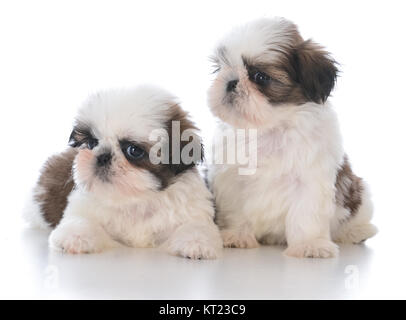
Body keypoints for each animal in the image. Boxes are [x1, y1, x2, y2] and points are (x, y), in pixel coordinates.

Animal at [23, 85, 222, 260]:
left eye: (133, 150)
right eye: (91, 143)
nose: (102, 156)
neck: (135, 200)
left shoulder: (191, 211)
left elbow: (196, 226)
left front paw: (196, 243)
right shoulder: (83, 205)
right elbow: (80, 220)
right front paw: (76, 236)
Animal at [208, 16, 380, 258]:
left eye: (260, 76)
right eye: (219, 69)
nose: (231, 81)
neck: (270, 128)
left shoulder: (310, 179)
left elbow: (306, 214)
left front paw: (310, 245)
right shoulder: (231, 180)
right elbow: (236, 210)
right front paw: (236, 236)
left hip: (358, 192)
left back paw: (355, 232)